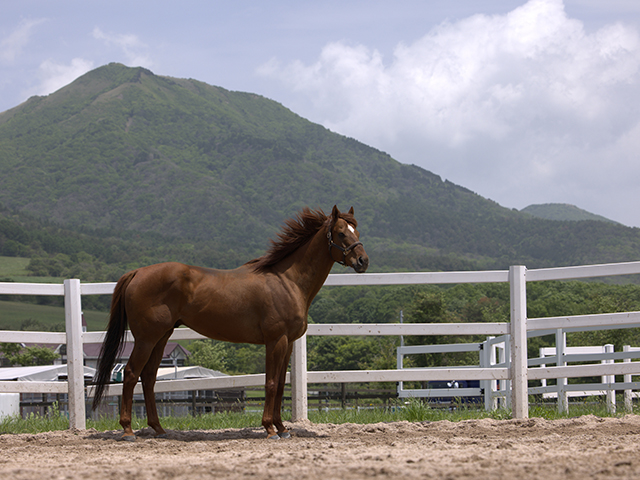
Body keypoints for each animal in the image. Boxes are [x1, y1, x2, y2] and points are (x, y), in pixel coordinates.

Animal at [91, 205, 370, 438]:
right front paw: (269, 429)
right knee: (130, 374)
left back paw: (159, 429)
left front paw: (282, 428)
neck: (287, 281)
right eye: (341, 233)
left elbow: (281, 385)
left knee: (148, 378)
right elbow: (270, 383)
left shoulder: (288, 342)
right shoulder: (275, 340)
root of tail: (137, 272)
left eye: (357, 230)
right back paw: (128, 430)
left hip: (161, 337)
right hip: (146, 339)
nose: (363, 261)